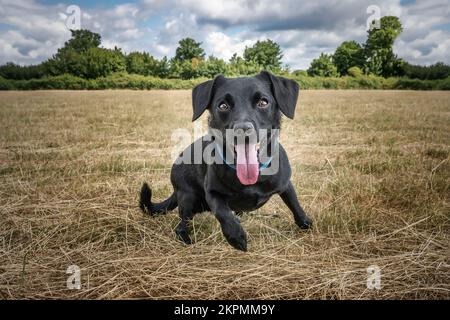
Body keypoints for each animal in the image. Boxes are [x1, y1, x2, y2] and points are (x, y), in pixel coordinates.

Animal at [141, 70, 312, 250]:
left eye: (263, 102)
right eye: (223, 106)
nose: (242, 130)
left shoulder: (286, 185)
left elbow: (295, 204)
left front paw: (305, 222)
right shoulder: (212, 193)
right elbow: (222, 211)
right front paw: (235, 236)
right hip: (187, 197)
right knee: (181, 226)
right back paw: (186, 240)